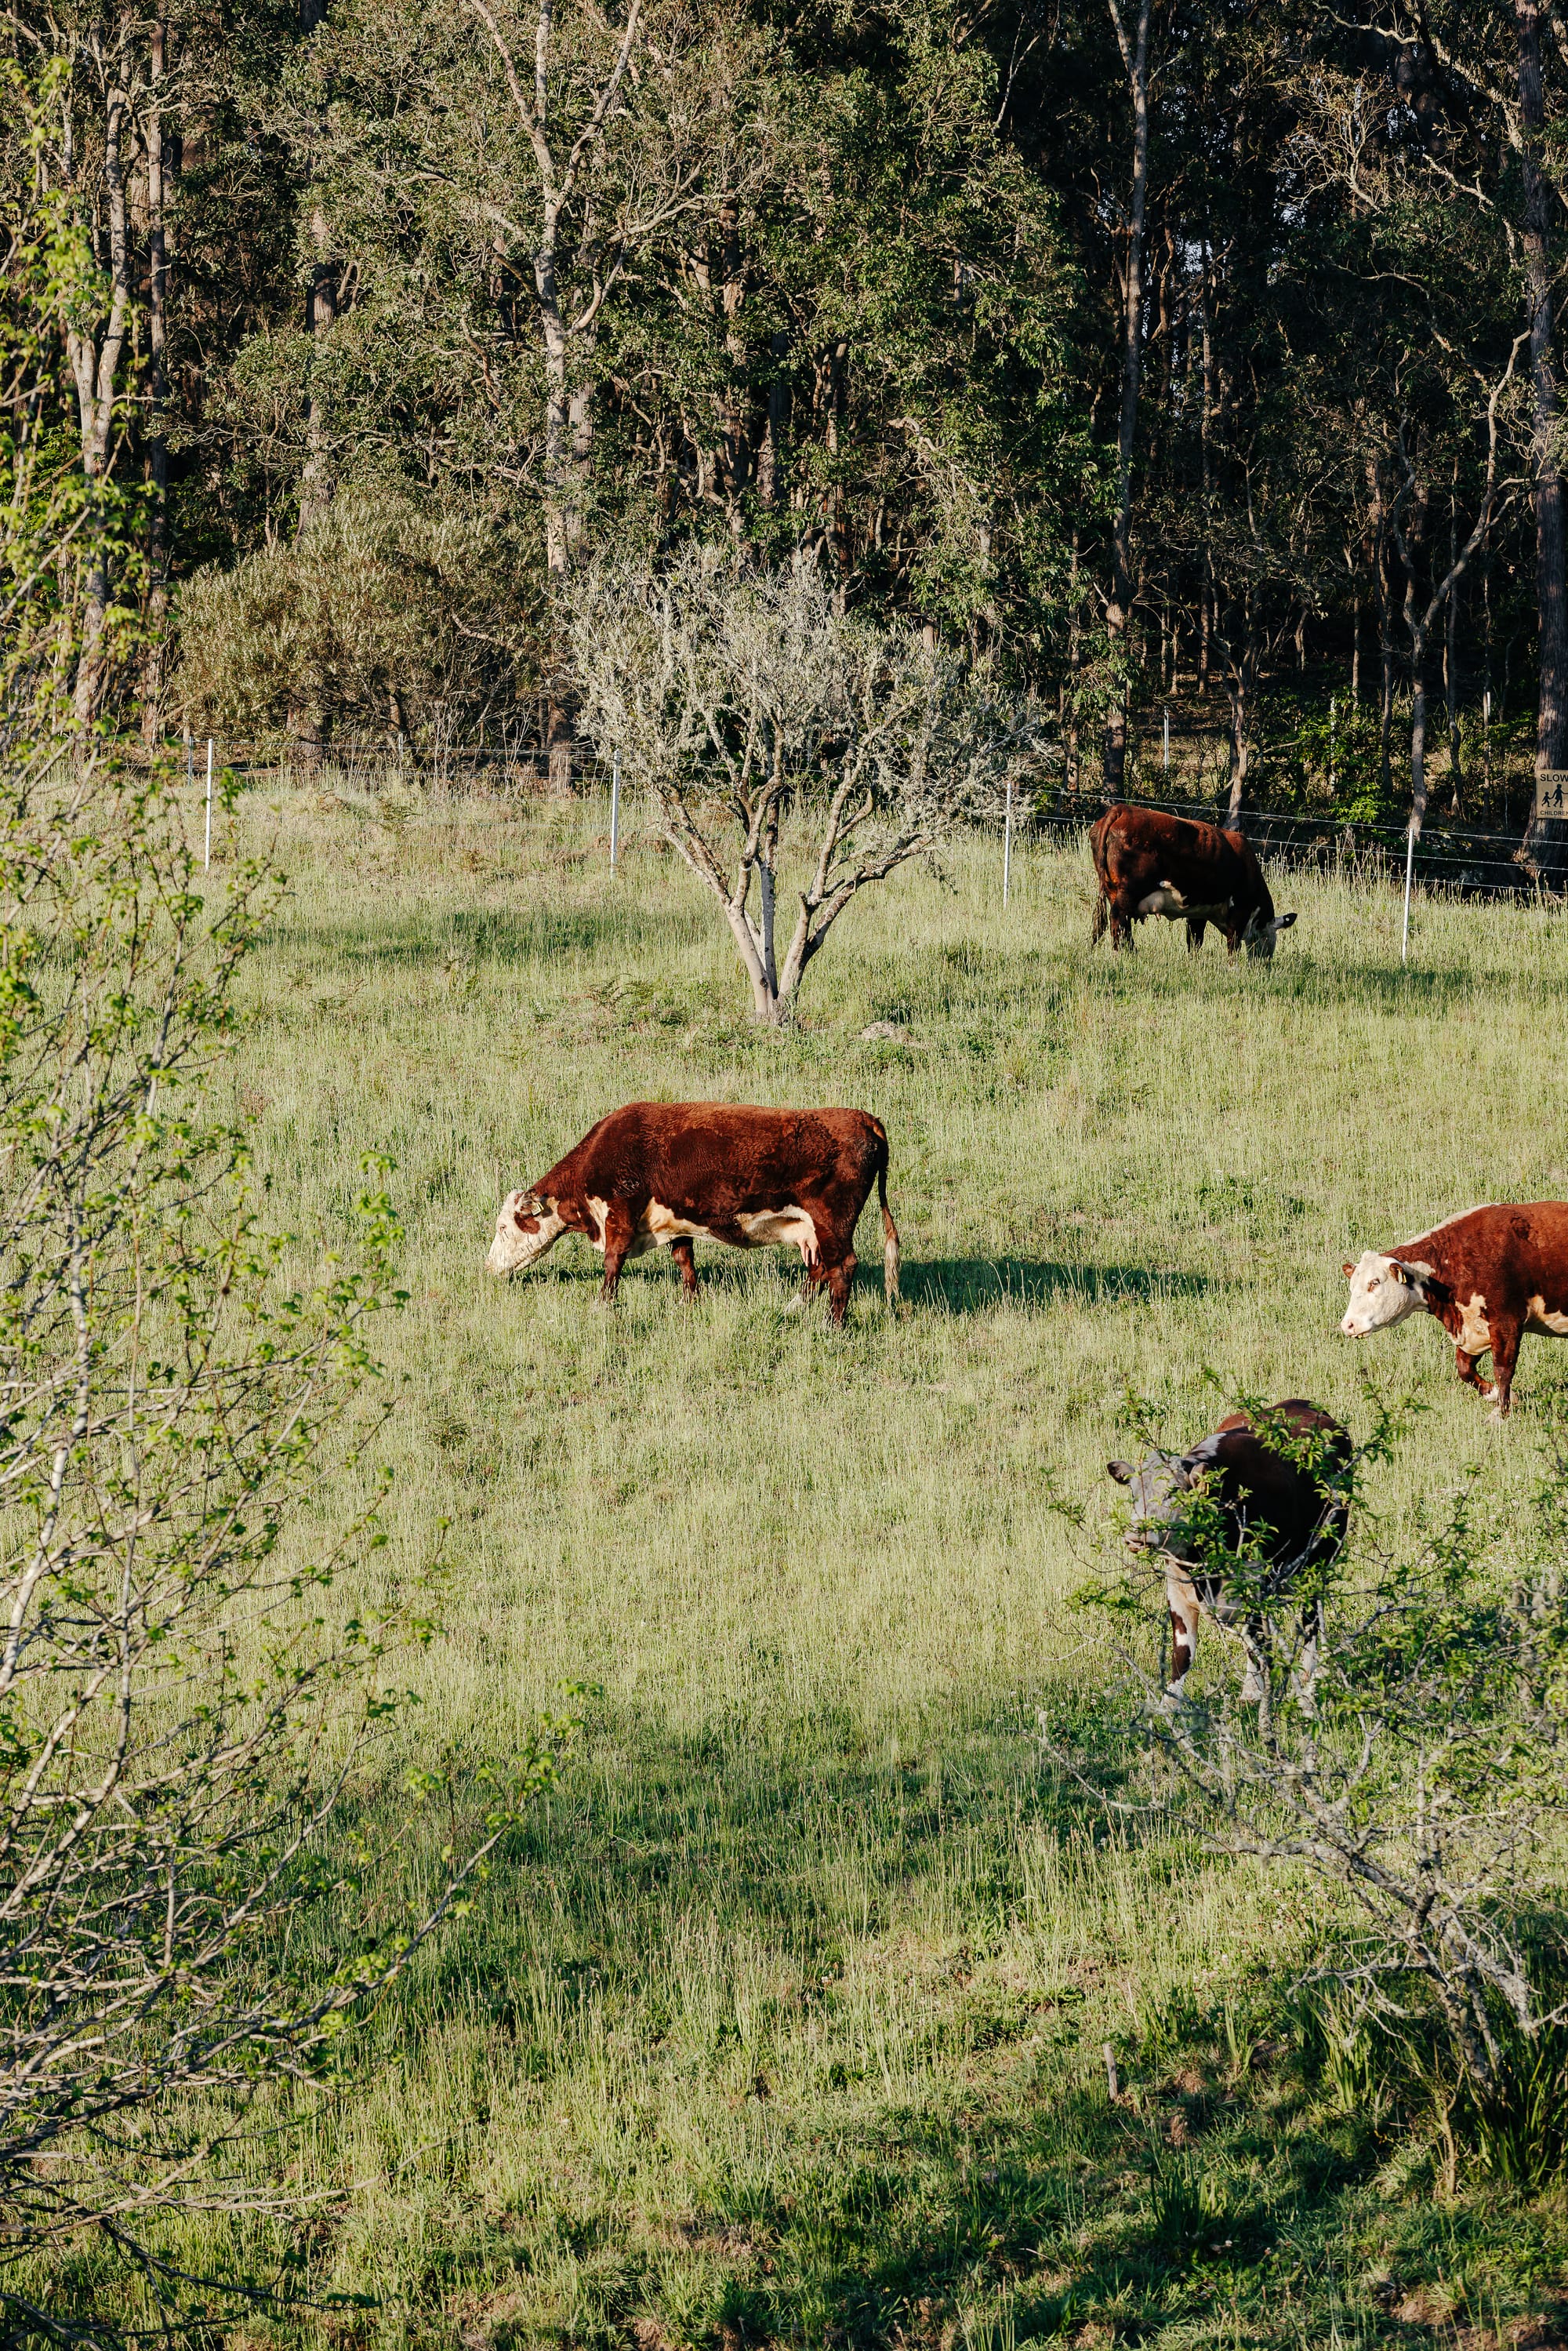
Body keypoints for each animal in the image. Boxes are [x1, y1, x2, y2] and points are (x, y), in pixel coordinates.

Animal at [484, 1100, 902, 1325]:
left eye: (504, 1227)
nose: (487, 1267)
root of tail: (863, 1118)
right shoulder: (675, 1219)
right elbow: (684, 1259)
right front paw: (690, 1302)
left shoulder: (621, 1212)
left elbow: (613, 1262)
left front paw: (603, 1305)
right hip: (812, 1228)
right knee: (820, 1268)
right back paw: (792, 1307)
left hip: (833, 1220)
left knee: (842, 1266)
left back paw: (833, 1325)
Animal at [1091, 808, 1298, 954]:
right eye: (1267, 938)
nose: (1264, 965)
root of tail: (1122, 809)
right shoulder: (1239, 911)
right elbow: (1233, 943)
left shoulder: (1198, 912)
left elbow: (1195, 940)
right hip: (1129, 892)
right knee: (1118, 919)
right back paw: (1121, 953)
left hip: (1113, 891)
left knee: (1124, 925)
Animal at [1105, 1382, 1354, 1702]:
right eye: (1134, 1491)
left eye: (1175, 1491)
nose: (1137, 1534)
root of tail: (1306, 1404)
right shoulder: (1177, 1591)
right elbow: (1182, 1655)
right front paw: (1168, 1704)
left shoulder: (1255, 1587)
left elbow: (1259, 1645)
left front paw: (1254, 1696)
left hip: (1318, 1562)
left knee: (1311, 1620)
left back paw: (1309, 1681)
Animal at [1345, 1203, 1568, 1419]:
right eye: (1352, 1286)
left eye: (1374, 1282)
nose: (1347, 1325)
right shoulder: (1472, 1330)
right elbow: (1464, 1368)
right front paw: (1495, 1394)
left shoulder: (1506, 1323)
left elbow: (1503, 1369)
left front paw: (1500, 1412)